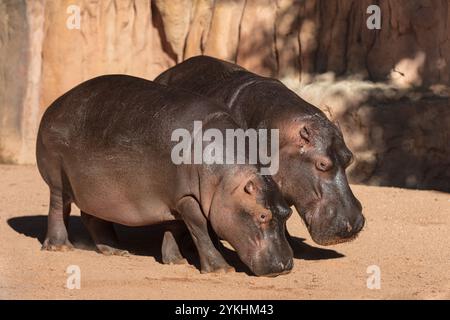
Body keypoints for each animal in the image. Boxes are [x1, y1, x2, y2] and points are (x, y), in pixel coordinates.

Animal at [37, 74, 294, 276]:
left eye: (287, 213)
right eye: (262, 216)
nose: (286, 265)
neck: (226, 182)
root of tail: (53, 106)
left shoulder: (175, 198)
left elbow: (175, 227)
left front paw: (176, 261)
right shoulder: (187, 198)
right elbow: (200, 229)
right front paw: (221, 269)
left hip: (95, 191)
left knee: (93, 218)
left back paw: (116, 250)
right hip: (58, 178)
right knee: (58, 207)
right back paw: (60, 247)